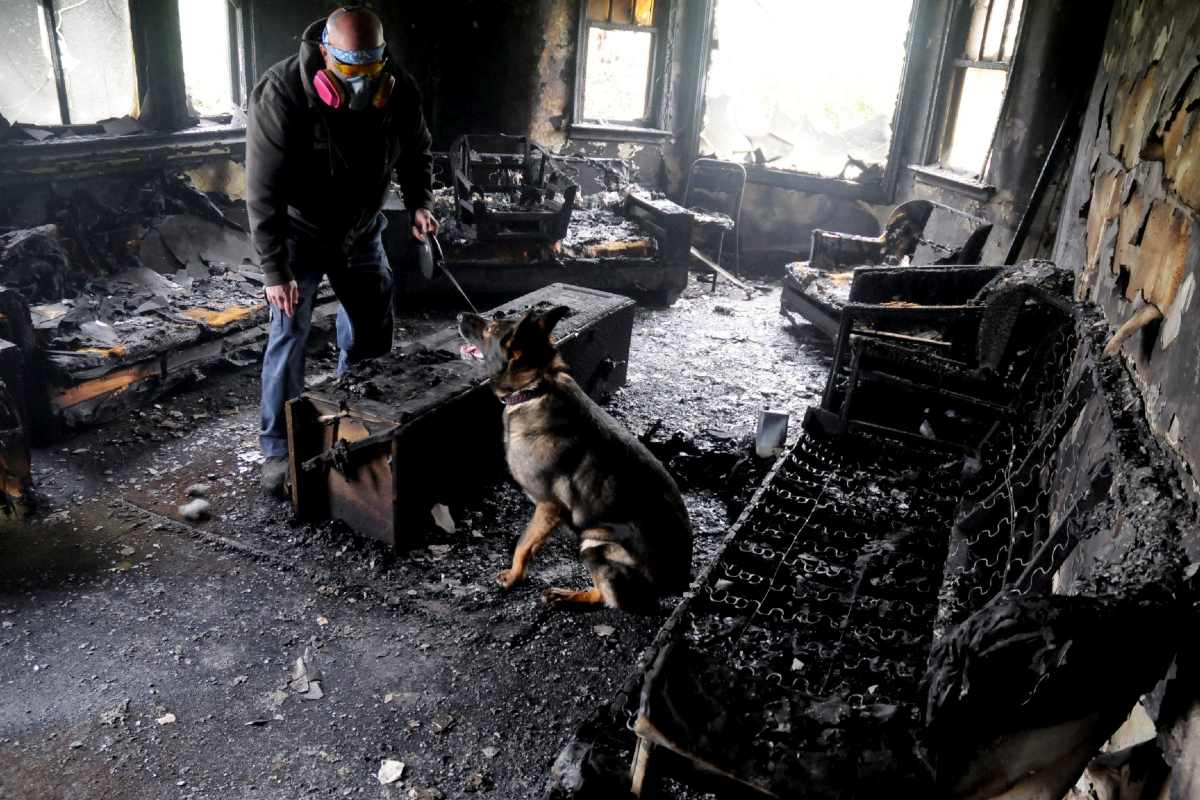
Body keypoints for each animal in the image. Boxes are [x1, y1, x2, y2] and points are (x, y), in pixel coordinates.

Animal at [458, 307, 696, 614]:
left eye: (490, 328)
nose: (459, 316)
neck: (536, 388)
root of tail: (679, 582)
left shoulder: (548, 505)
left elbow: (523, 544)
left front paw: (513, 576)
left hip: (594, 544)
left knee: (607, 598)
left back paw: (567, 595)